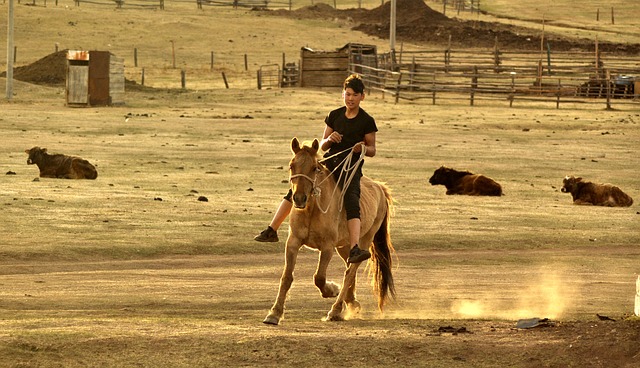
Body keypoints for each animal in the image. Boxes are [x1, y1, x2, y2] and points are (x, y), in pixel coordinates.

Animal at [262, 138, 396, 324]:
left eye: (314, 168)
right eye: (291, 165)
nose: (299, 198)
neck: (312, 209)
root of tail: (380, 188)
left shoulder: (327, 248)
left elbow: (319, 277)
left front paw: (331, 290)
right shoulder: (293, 243)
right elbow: (287, 277)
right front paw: (274, 313)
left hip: (364, 240)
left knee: (350, 272)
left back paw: (336, 310)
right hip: (345, 246)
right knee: (349, 269)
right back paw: (351, 302)